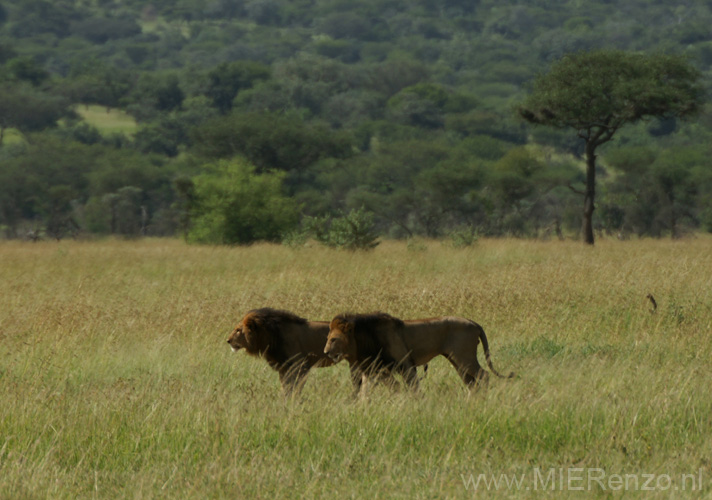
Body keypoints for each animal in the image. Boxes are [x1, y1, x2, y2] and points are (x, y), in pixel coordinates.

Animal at [326, 310, 516, 392]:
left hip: (464, 358)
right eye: (327, 338)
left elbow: (412, 387)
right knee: (471, 382)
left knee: (484, 375)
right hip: (457, 361)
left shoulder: (405, 364)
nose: (326, 351)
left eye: (333, 339)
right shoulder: (377, 370)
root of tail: (473, 322)